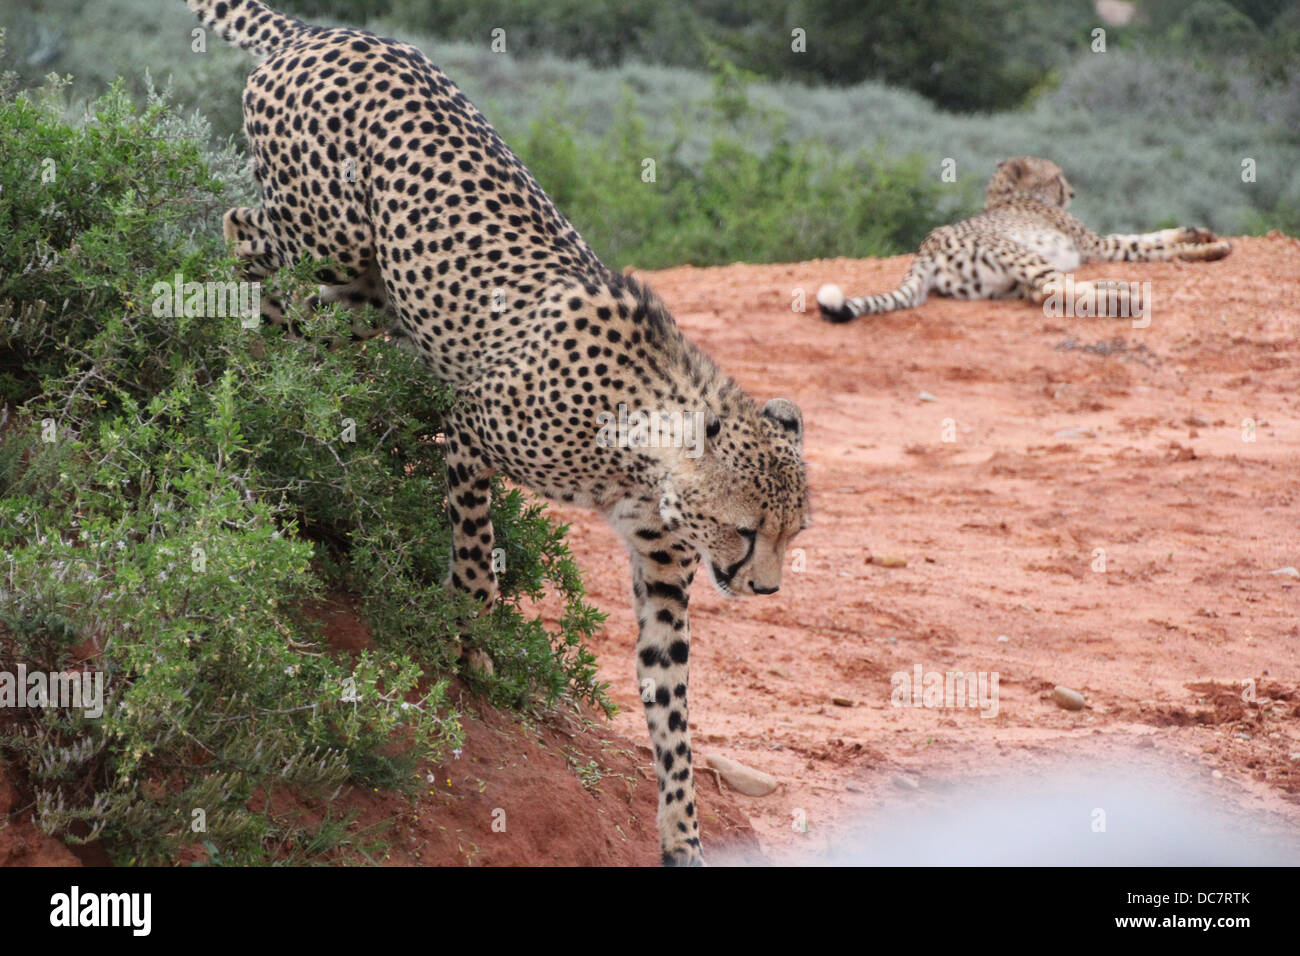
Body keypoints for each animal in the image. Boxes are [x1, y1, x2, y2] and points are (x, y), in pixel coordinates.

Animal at [184, 1, 806, 868]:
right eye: (748, 530)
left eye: (792, 533)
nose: (766, 588)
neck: (644, 450)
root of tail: (324, 32)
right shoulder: (472, 427)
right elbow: (478, 557)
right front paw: (471, 642)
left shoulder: (662, 571)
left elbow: (671, 702)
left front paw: (682, 830)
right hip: (331, 236)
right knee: (241, 225)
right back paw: (259, 338)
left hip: (366, 285)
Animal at [816, 155, 1232, 323]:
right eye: (1057, 177)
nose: (1073, 192)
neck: (1005, 195)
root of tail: (925, 248)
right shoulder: (1098, 246)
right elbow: (1148, 245)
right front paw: (1212, 247)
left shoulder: (1095, 244)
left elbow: (1150, 236)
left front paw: (1197, 232)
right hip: (1022, 254)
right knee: (1051, 290)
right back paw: (1124, 300)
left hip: (1003, 281)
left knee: (1045, 292)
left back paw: (1118, 290)